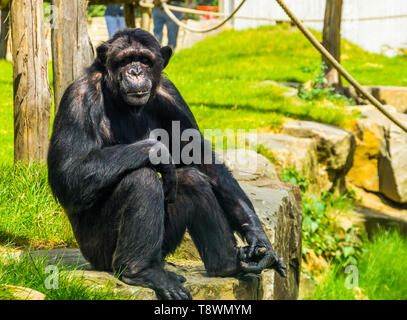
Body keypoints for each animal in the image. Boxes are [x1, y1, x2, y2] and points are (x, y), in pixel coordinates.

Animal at [47, 28, 286, 300]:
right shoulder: (79, 97)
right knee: (141, 179)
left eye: (145, 60)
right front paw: (157, 153)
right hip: (97, 251)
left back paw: (228, 264)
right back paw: (141, 271)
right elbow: (69, 172)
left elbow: (206, 163)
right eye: (125, 60)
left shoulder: (173, 98)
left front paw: (259, 239)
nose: (136, 71)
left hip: (163, 247)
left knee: (191, 180)